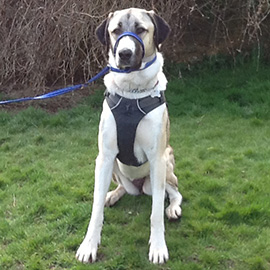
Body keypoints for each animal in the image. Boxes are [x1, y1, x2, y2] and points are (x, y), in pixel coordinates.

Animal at [75, 7, 182, 264]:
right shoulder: (104, 157)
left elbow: (155, 213)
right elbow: (95, 210)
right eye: (115, 30)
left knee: (174, 192)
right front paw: (89, 245)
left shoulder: (157, 160)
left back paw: (173, 208)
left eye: (141, 29)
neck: (131, 94)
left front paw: (158, 247)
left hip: (164, 167)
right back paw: (112, 195)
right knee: (124, 189)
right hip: (114, 168)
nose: (124, 54)